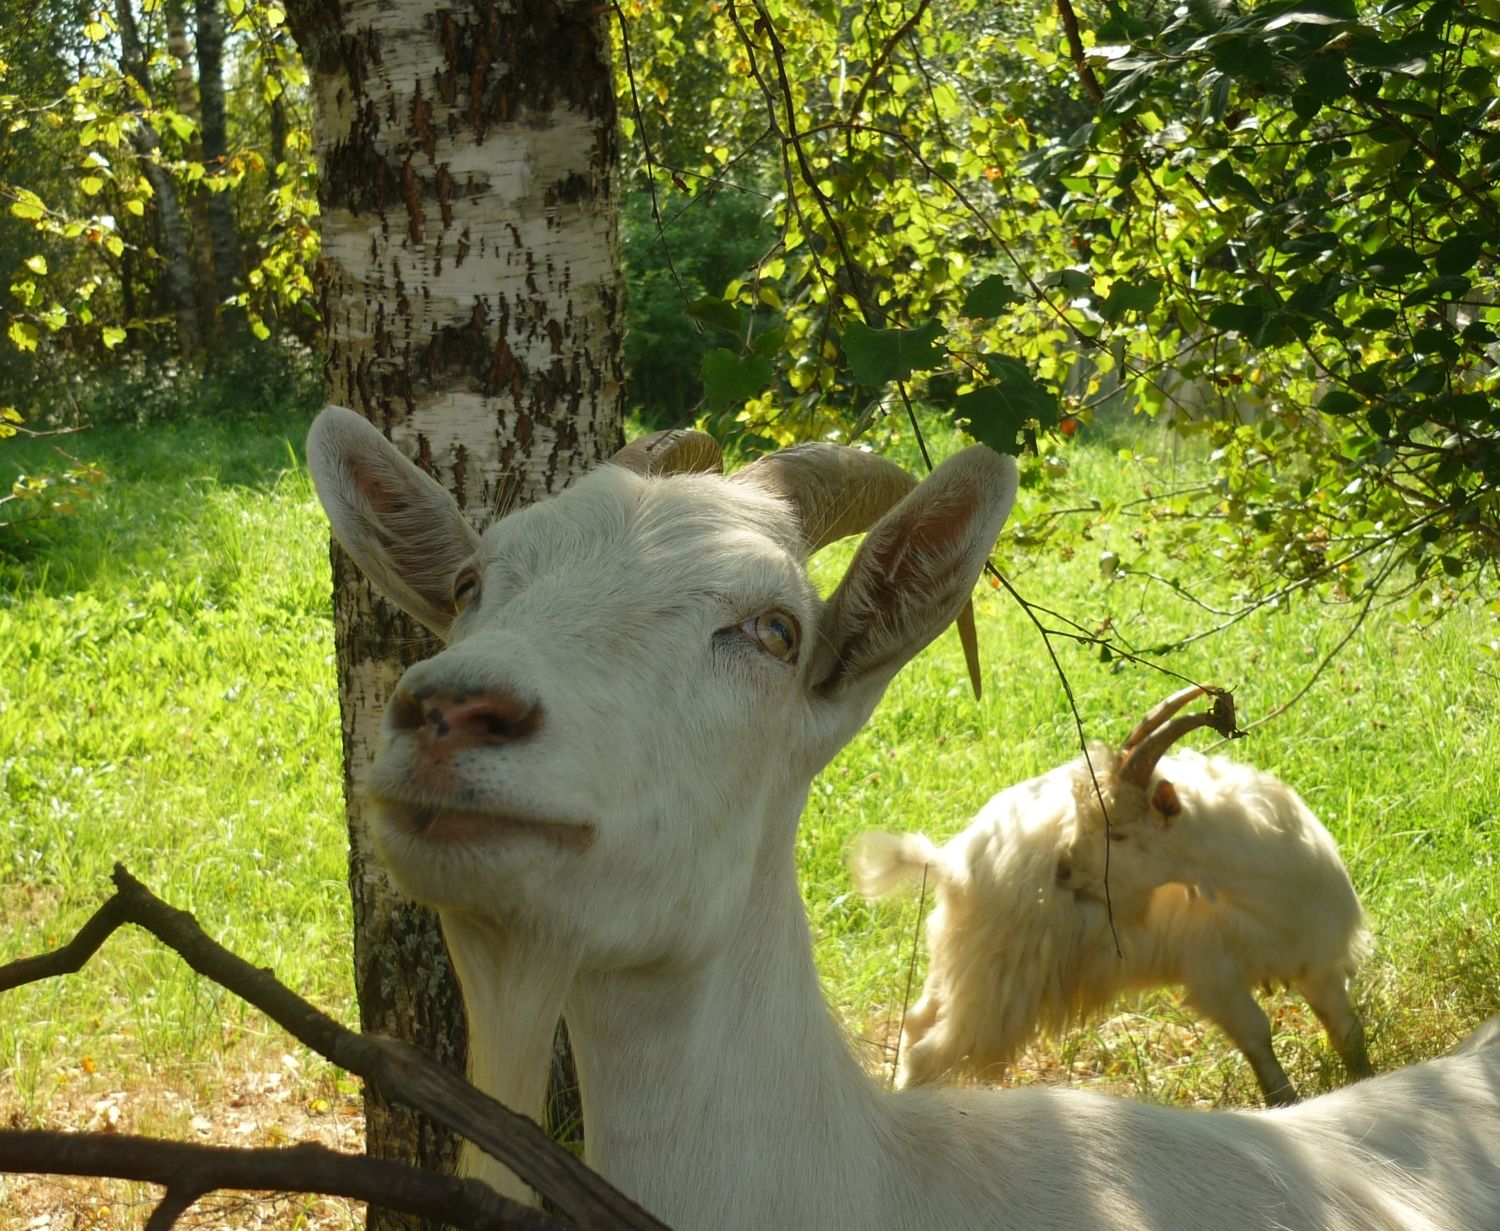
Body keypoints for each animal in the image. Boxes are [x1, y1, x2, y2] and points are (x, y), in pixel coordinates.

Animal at [852, 680, 1374, 1103]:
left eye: (1117, 834)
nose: (1062, 871)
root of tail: (951, 863)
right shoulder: (1212, 972)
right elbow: (1257, 1036)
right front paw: (1286, 1104)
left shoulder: (1317, 961)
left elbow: (1348, 1031)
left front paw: (1366, 1086)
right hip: (999, 983)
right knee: (931, 1052)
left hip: (961, 965)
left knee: (917, 1023)